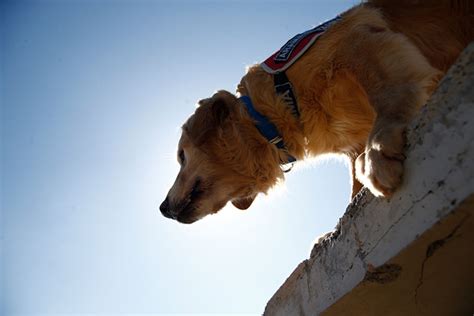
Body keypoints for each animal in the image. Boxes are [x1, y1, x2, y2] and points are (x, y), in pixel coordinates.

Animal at [160, 0, 474, 223]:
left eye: (181, 156)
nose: (162, 208)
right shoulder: (349, 143)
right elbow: (354, 177)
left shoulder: (358, 41)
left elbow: (386, 92)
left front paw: (377, 150)